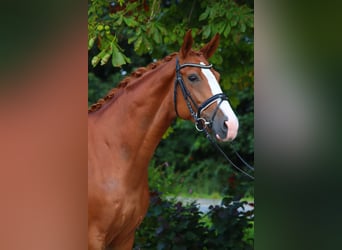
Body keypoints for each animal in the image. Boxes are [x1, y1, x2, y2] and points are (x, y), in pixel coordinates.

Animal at [88, 30, 238, 249]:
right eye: (193, 77)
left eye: (217, 76)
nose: (231, 125)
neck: (112, 155)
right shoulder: (94, 238)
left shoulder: (125, 238)